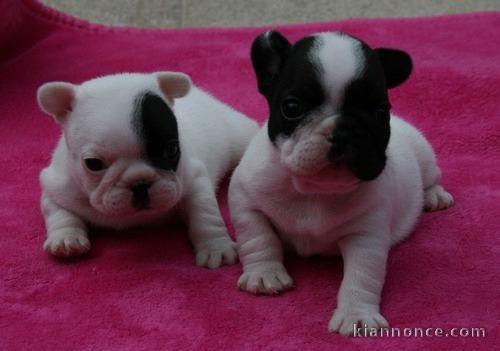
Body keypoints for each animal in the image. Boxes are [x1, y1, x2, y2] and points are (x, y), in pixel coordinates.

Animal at [38, 72, 258, 270]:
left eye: (171, 150)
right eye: (93, 164)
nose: (140, 183)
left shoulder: (194, 179)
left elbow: (205, 214)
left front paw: (215, 247)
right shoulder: (57, 186)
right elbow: (58, 212)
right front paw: (66, 239)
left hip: (238, 133)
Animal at [229, 31, 456, 336]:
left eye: (380, 111)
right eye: (292, 107)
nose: (344, 130)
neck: (314, 189)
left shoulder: (366, 234)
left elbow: (361, 275)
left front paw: (357, 315)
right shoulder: (245, 199)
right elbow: (257, 236)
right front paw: (264, 274)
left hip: (423, 153)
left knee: (431, 176)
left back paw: (434, 196)